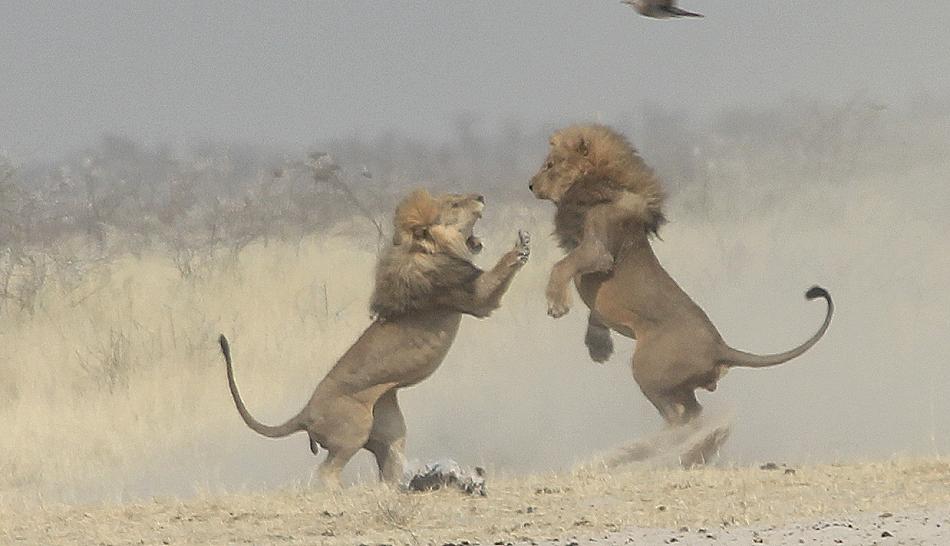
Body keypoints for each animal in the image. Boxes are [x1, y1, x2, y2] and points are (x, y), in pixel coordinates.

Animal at [220, 188, 532, 484]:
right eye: (454, 204)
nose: (480, 196)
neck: (430, 251)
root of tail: (305, 412)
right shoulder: (476, 297)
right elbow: (499, 271)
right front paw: (521, 245)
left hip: (389, 428)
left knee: (388, 465)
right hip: (355, 428)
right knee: (326, 471)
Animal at [532, 124, 836, 464]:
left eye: (549, 165)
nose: (530, 185)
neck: (602, 181)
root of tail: (720, 346)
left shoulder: (598, 251)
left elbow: (561, 266)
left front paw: (557, 304)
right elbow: (593, 313)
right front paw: (598, 347)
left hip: (647, 367)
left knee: (679, 418)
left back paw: (637, 450)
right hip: (681, 384)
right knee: (693, 413)